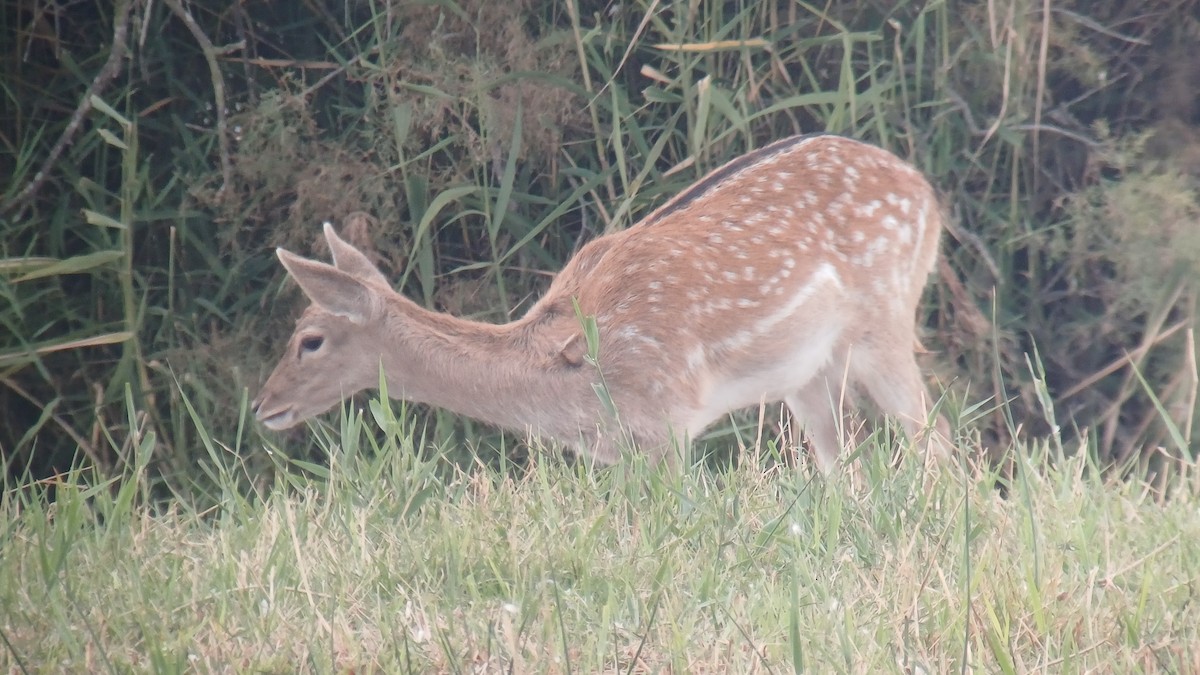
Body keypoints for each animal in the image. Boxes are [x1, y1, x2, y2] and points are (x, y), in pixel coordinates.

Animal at [252, 133, 950, 473]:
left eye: (309, 338)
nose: (262, 406)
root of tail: (925, 189)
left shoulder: (666, 418)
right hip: (807, 372)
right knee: (848, 461)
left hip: (887, 319)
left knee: (935, 439)